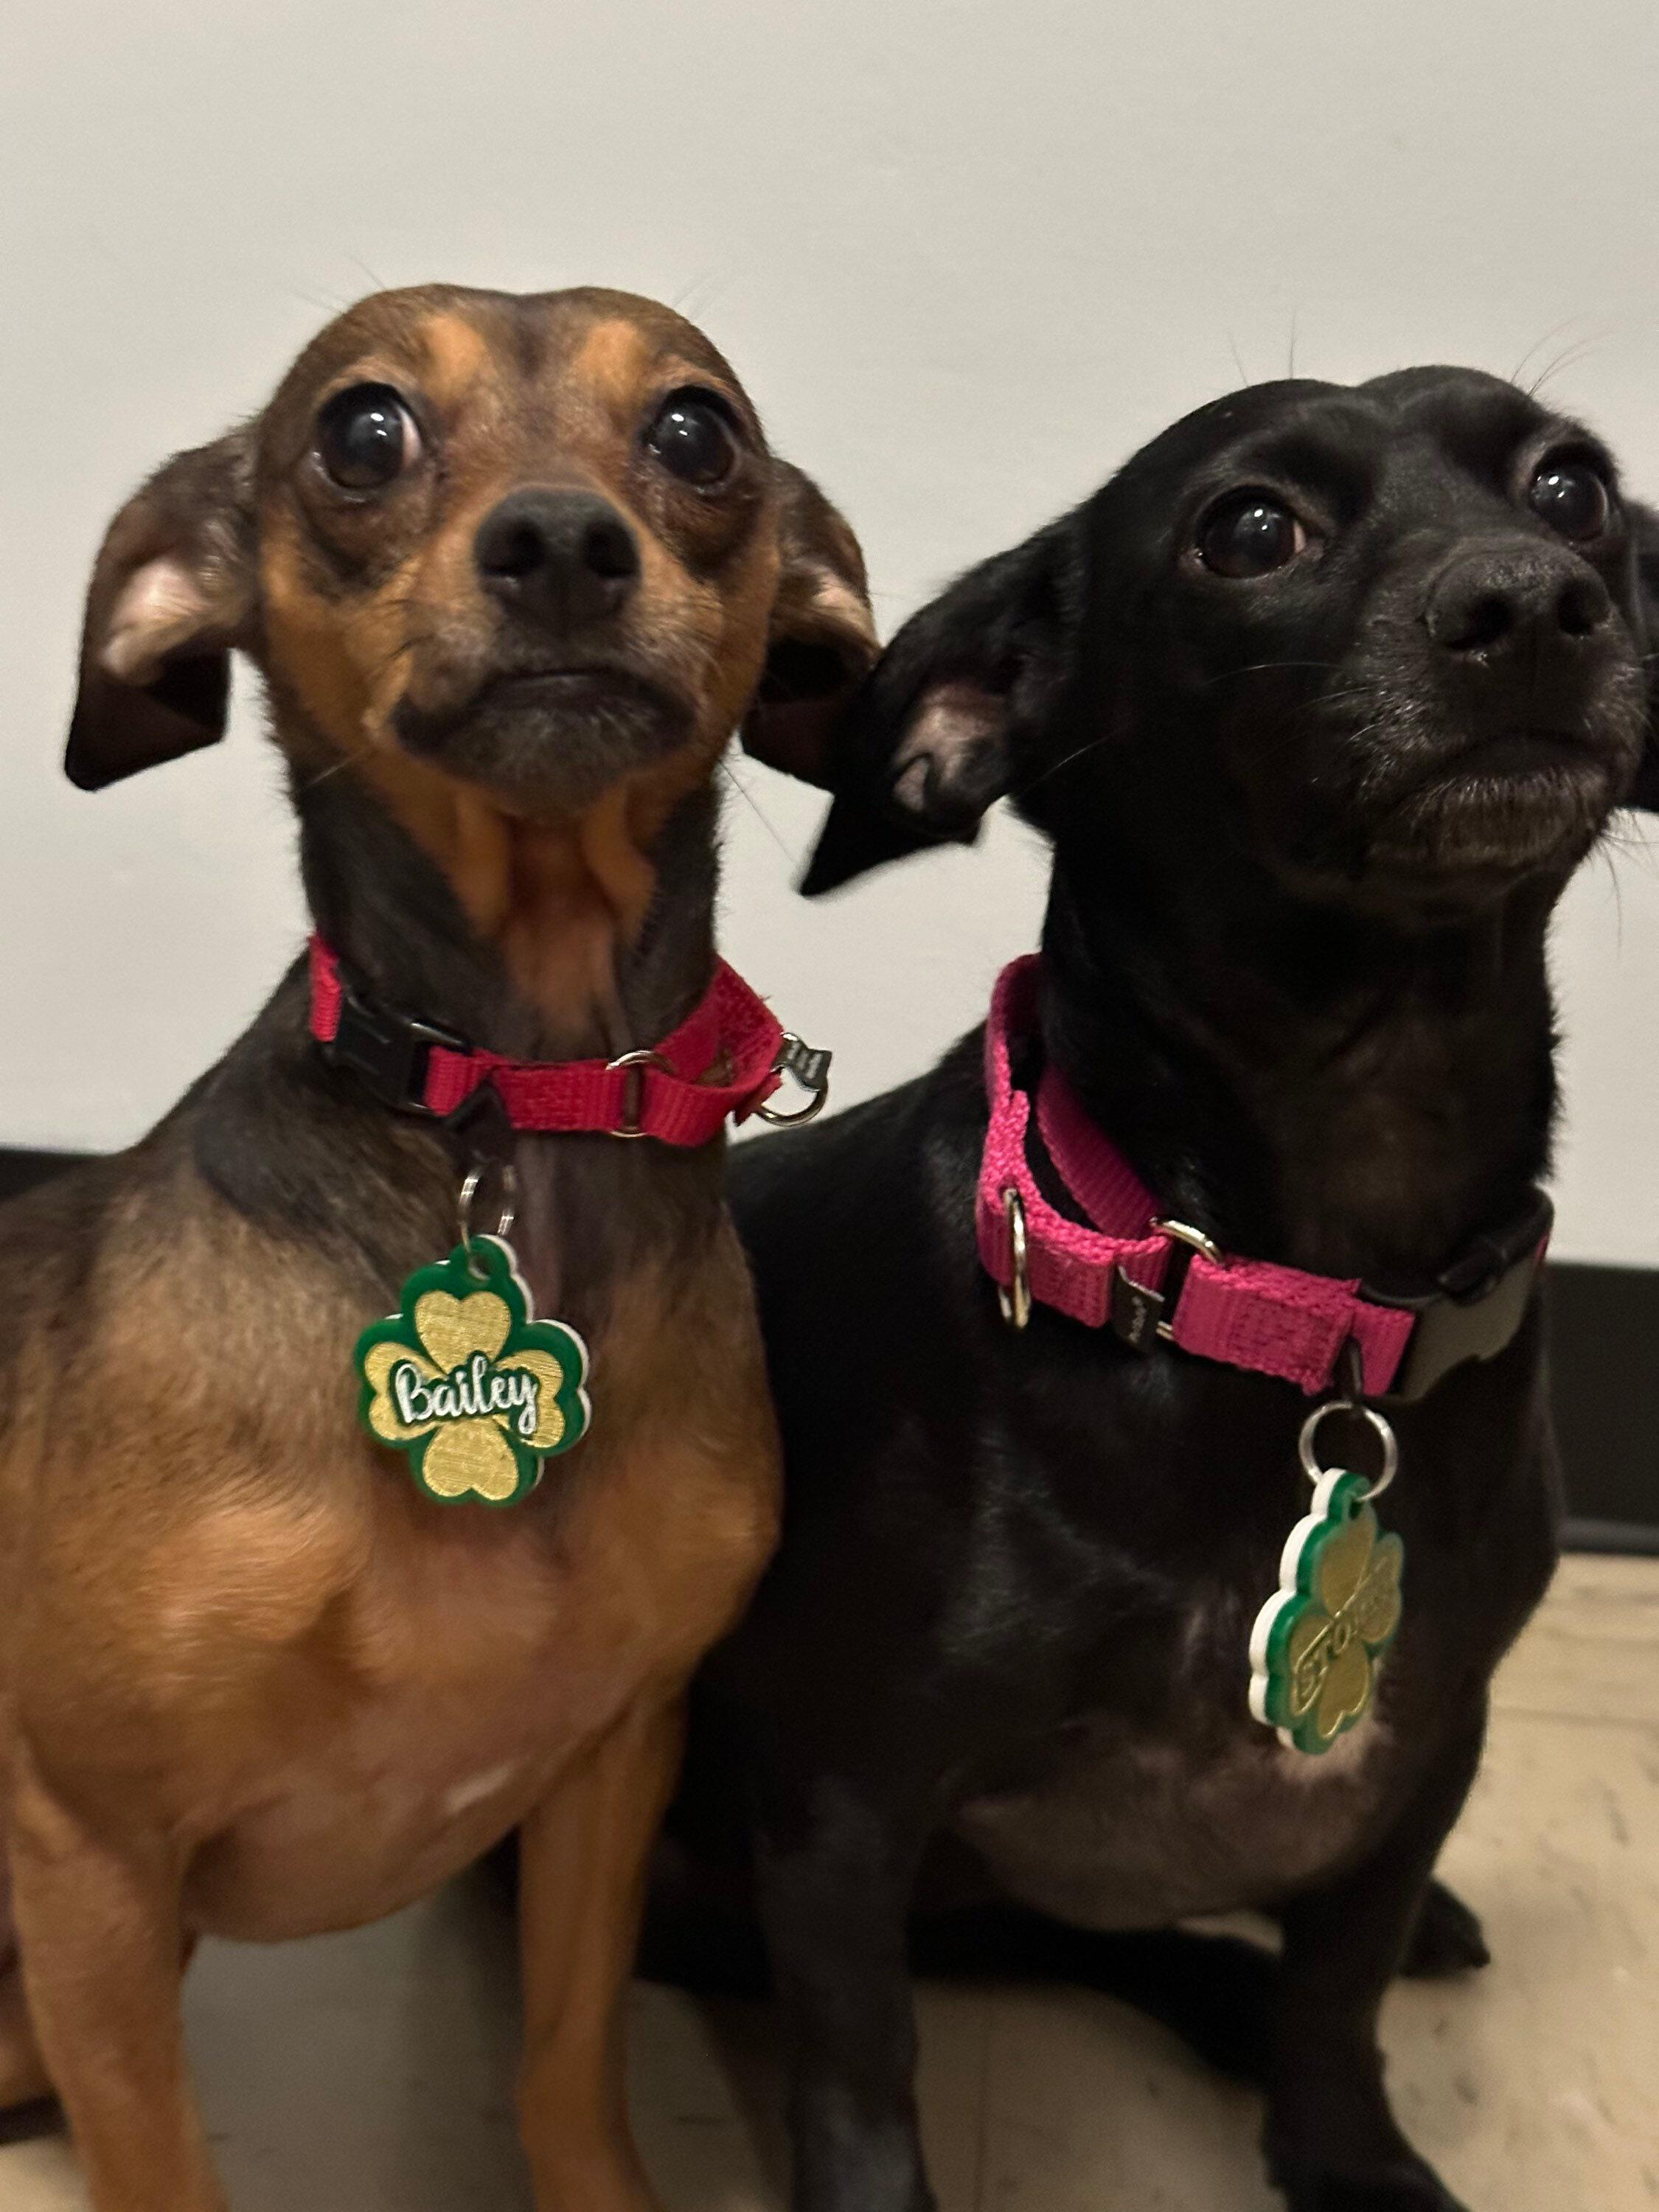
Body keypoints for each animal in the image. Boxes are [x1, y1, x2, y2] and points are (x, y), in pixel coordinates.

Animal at [0, 285, 885, 2203]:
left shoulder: (613, 1764)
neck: (518, 1104)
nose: (559, 542)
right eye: (362, 431)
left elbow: (568, 2073)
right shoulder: (89, 1847)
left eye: (699, 431)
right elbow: (159, 2159)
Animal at [677, 372, 1659, 2203]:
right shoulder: (844, 1804)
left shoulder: (1434, 1740)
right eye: (1249, 529)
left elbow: (1343, 1983)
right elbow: (862, 2076)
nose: (1534, 603)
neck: (1301, 1295)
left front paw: (1346, 2151)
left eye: (1573, 487)